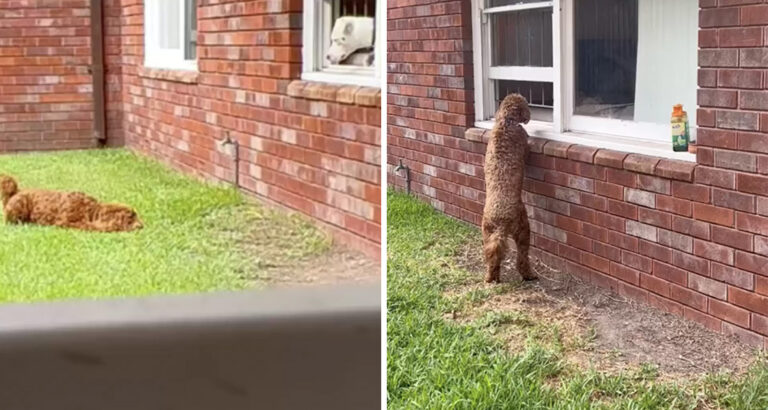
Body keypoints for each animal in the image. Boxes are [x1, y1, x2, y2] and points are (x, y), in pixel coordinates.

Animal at [0, 175, 142, 234]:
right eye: (131, 217)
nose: (142, 226)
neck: (90, 212)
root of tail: (16, 192)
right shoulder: (65, 221)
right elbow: (86, 226)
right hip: (20, 204)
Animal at [480, 93, 536, 284]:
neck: (507, 122)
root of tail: (500, 223)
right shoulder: (523, 141)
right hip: (523, 227)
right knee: (522, 257)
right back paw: (529, 275)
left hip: (487, 233)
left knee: (492, 259)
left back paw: (491, 277)